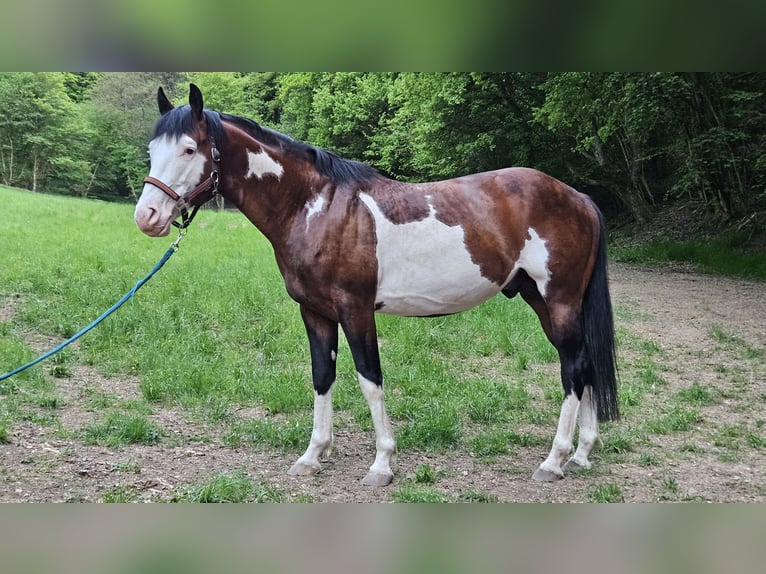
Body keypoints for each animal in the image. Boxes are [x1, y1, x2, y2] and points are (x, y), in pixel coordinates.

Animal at [134, 84, 618, 486]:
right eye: (152, 149)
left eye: (189, 148)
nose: (147, 217)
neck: (315, 208)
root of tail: (578, 198)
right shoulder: (315, 311)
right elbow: (322, 377)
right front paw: (312, 455)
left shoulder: (355, 309)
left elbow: (370, 379)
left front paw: (382, 464)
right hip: (542, 300)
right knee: (585, 365)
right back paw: (581, 455)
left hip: (559, 301)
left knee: (574, 369)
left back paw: (554, 460)